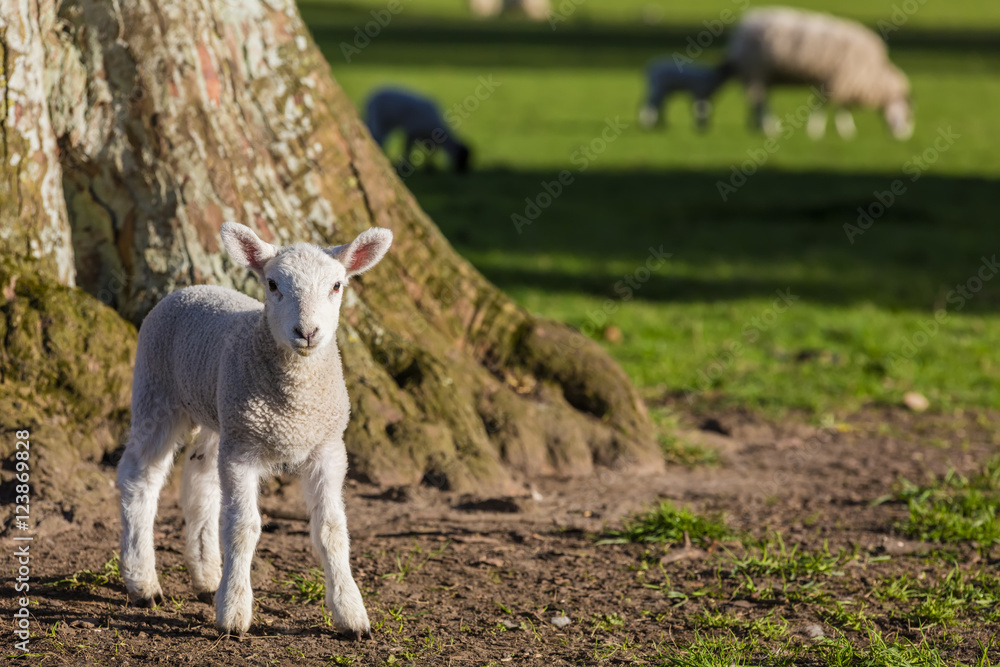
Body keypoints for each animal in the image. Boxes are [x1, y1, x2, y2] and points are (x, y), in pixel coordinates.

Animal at [118, 222, 394, 640]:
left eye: (337, 285)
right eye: (273, 283)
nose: (307, 331)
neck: (294, 406)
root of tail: (190, 288)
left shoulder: (327, 447)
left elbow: (332, 528)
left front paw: (351, 614)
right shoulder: (243, 452)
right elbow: (243, 528)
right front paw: (234, 613)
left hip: (221, 414)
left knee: (200, 483)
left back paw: (207, 576)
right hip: (157, 392)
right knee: (139, 479)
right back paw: (143, 582)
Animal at [720, 5, 916, 141]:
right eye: (907, 116)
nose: (905, 137)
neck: (873, 73)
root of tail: (744, 26)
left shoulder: (839, 83)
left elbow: (838, 107)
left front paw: (844, 131)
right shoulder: (837, 80)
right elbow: (824, 108)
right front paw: (819, 131)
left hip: (761, 75)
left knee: (757, 101)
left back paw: (756, 126)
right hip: (756, 71)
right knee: (760, 102)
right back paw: (769, 128)